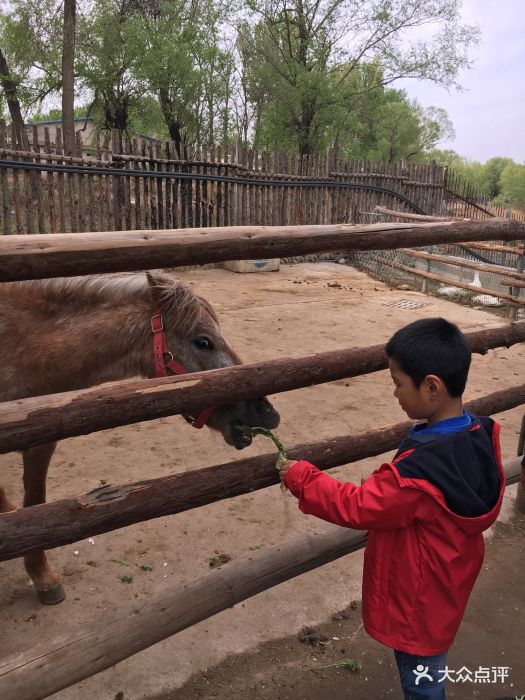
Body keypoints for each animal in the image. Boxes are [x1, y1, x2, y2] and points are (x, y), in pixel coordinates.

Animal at [0, 270, 278, 604]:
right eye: (203, 342)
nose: (266, 412)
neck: (22, 348)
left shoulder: (40, 441)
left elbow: (34, 500)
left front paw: (40, 573)